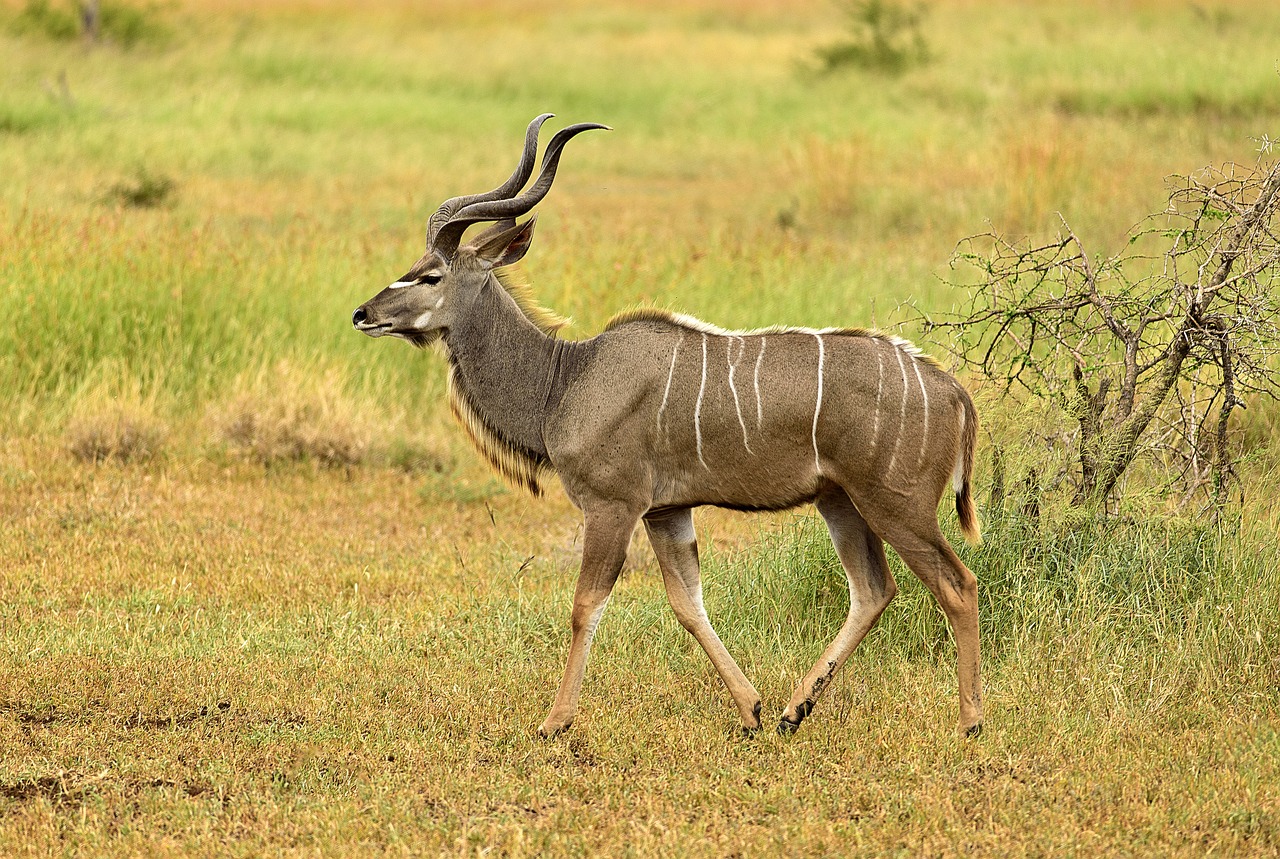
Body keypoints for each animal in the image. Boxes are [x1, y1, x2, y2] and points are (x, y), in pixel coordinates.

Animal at [350, 115, 977, 737]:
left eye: (430, 276)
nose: (362, 314)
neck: (566, 379)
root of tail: (952, 391)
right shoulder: (666, 512)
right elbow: (688, 605)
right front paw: (751, 709)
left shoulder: (614, 505)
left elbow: (585, 606)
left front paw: (555, 722)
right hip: (840, 500)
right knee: (873, 590)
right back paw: (792, 711)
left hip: (896, 505)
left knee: (957, 584)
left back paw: (969, 721)